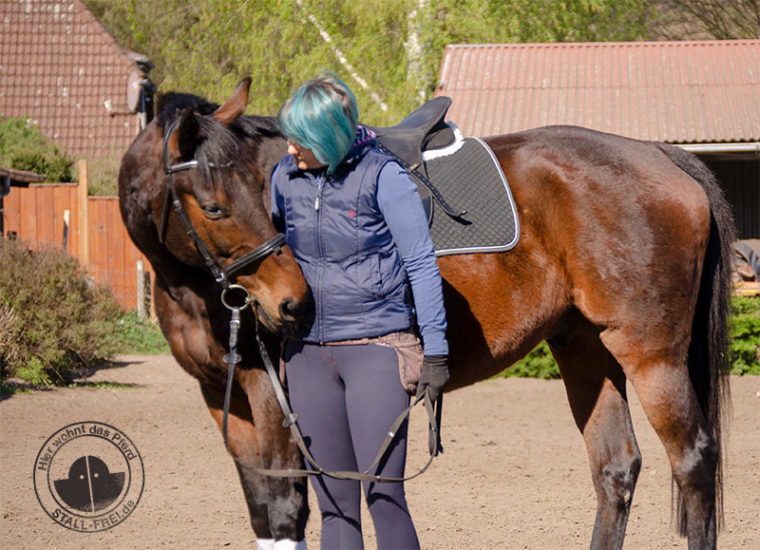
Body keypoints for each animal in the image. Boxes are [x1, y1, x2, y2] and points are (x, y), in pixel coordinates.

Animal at [117, 78, 732, 550]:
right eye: (215, 206)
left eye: (263, 200)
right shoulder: (223, 397)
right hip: (585, 348)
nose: (292, 303)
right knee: (615, 468)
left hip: (652, 356)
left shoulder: (273, 395)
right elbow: (261, 511)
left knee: (693, 461)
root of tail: (659, 153)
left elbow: (287, 509)